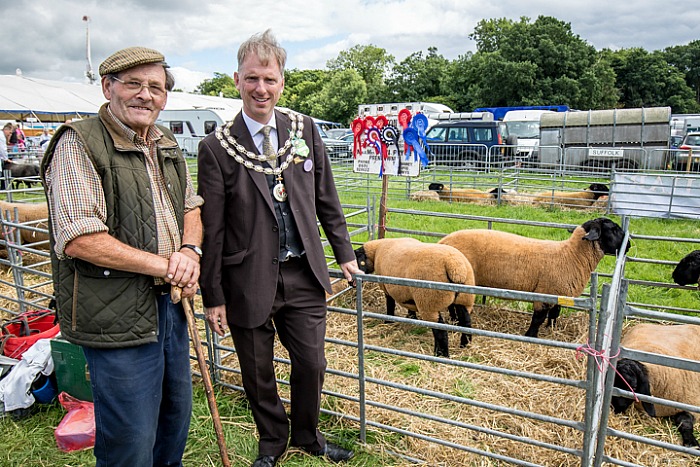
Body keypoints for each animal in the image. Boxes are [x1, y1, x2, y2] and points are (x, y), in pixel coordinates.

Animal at [438, 218, 628, 338]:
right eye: (613, 229)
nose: (629, 245)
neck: (571, 255)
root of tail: (442, 243)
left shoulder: (558, 293)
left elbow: (555, 313)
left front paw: (551, 329)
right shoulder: (544, 293)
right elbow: (538, 318)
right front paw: (531, 336)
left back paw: (454, 319)